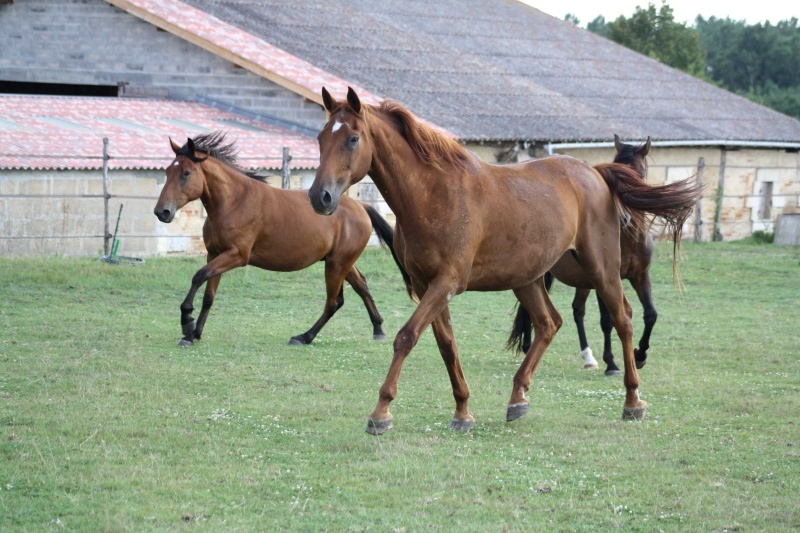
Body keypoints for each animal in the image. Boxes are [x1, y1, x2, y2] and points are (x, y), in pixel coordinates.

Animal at [153, 132, 394, 348]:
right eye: (167, 171)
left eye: (186, 172)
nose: (161, 212)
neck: (234, 201)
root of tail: (361, 206)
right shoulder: (214, 254)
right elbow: (209, 296)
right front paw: (194, 334)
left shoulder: (236, 255)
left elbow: (198, 276)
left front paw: (187, 322)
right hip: (340, 262)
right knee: (360, 286)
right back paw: (378, 328)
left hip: (337, 264)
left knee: (333, 302)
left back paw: (304, 337)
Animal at [512, 135, 664, 376]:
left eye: (638, 176)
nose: (625, 218)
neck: (628, 240)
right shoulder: (607, 279)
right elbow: (607, 320)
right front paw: (612, 364)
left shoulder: (640, 276)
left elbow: (650, 314)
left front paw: (640, 356)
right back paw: (529, 348)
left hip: (582, 281)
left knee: (577, 310)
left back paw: (587, 357)